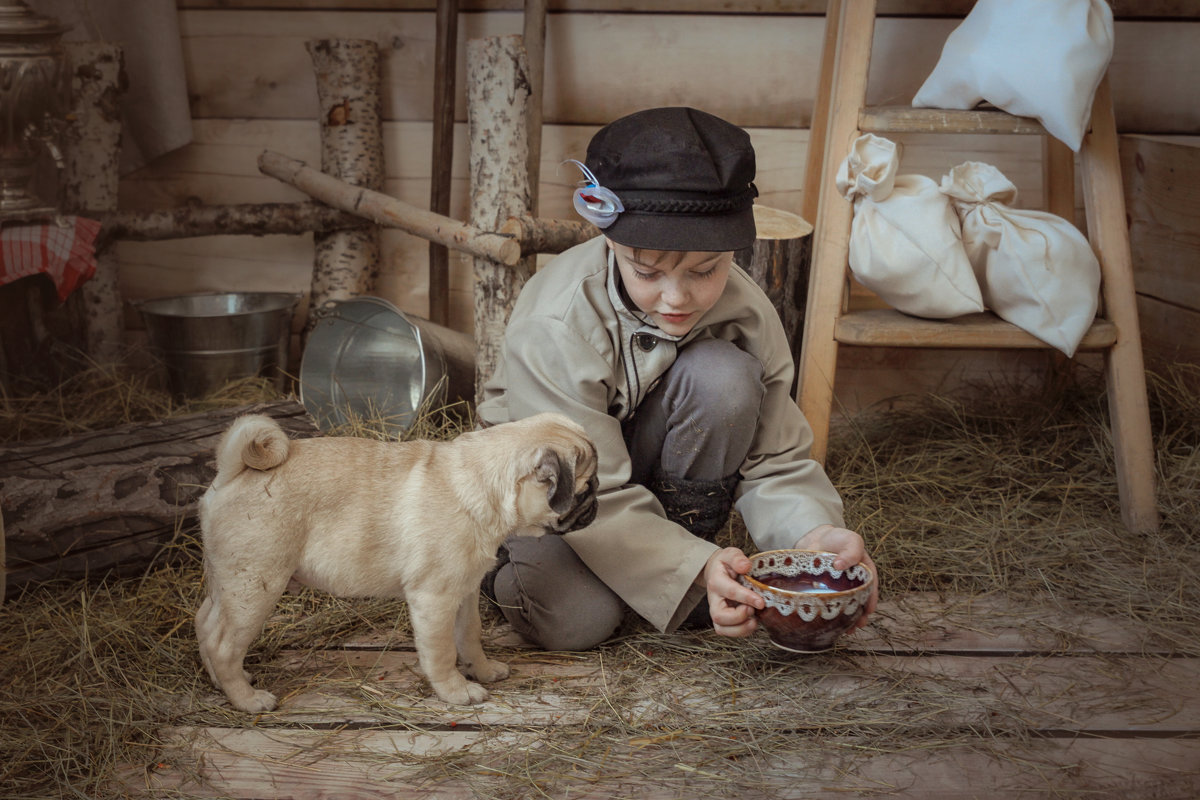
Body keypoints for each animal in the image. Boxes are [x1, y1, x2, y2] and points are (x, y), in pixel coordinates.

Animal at [195, 412, 600, 714]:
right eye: (584, 490)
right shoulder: (434, 598)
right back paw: (247, 699)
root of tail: (234, 471)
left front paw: (482, 671)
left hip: (228, 583)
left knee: (205, 623)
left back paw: (223, 682)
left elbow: (469, 636)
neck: (483, 485)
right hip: (255, 586)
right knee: (223, 644)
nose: (597, 503)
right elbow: (442, 651)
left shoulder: (464, 591)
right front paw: (456, 691)